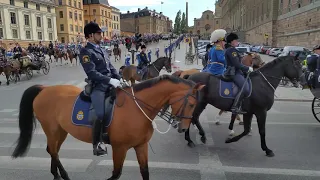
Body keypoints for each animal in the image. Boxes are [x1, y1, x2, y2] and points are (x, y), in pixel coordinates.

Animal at [11, 74, 205, 180]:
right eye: (191, 104)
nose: (183, 128)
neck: (136, 107)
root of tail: (44, 89)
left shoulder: (140, 146)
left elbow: (145, 172)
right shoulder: (120, 148)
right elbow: (116, 174)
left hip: (61, 130)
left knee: (52, 151)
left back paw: (56, 174)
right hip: (51, 129)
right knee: (53, 151)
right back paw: (64, 175)